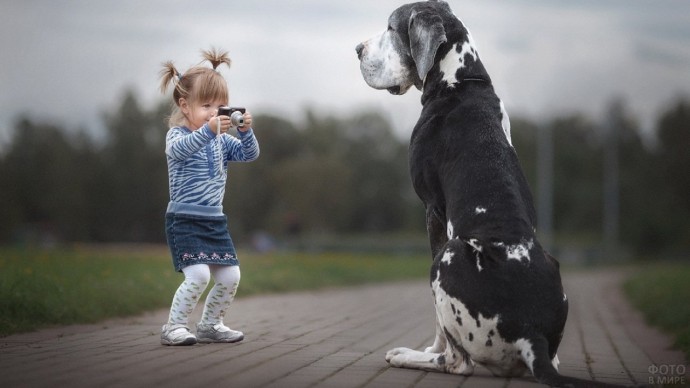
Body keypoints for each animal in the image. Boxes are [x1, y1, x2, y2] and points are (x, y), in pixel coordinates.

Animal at [358, 1, 612, 386]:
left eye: (390, 27)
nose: (357, 50)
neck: (460, 81)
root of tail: (531, 335)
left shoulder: (433, 211)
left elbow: (438, 323)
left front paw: (427, 349)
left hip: (447, 256)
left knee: (458, 361)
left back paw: (410, 356)